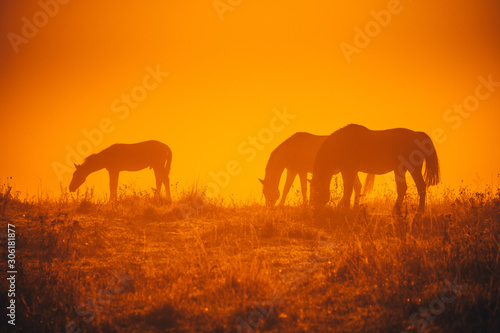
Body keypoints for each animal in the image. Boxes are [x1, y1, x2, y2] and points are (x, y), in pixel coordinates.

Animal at [310, 124, 440, 213]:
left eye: (315, 191)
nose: (314, 207)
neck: (340, 144)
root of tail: (417, 134)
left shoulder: (349, 170)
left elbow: (348, 189)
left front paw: (345, 208)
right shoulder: (351, 170)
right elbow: (356, 187)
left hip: (410, 168)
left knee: (414, 187)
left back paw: (413, 211)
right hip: (405, 169)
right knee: (410, 188)